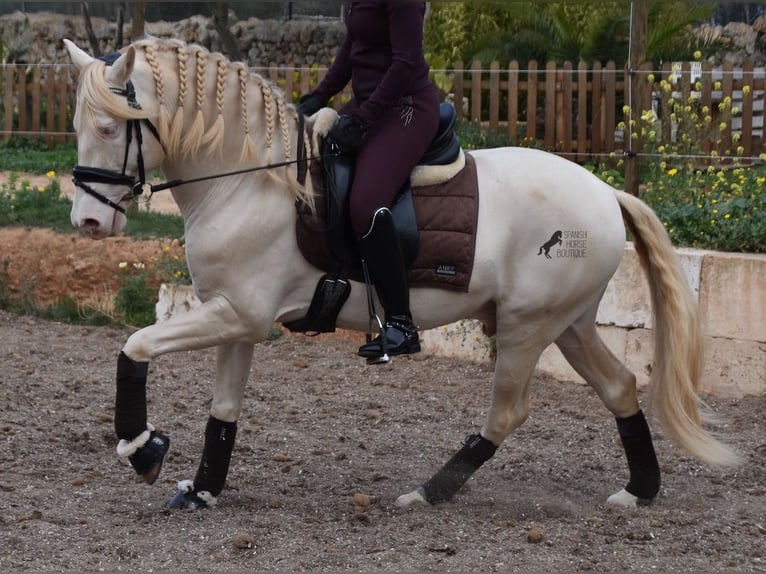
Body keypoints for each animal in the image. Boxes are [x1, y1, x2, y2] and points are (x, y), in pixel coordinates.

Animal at [64, 37, 736, 512]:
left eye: (108, 127)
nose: (89, 222)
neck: (249, 180)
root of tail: (605, 191)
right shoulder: (236, 318)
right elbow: (223, 408)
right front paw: (200, 490)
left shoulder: (240, 314)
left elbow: (135, 345)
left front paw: (142, 449)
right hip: (567, 323)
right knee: (620, 387)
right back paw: (639, 491)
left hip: (527, 327)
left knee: (509, 413)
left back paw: (427, 492)